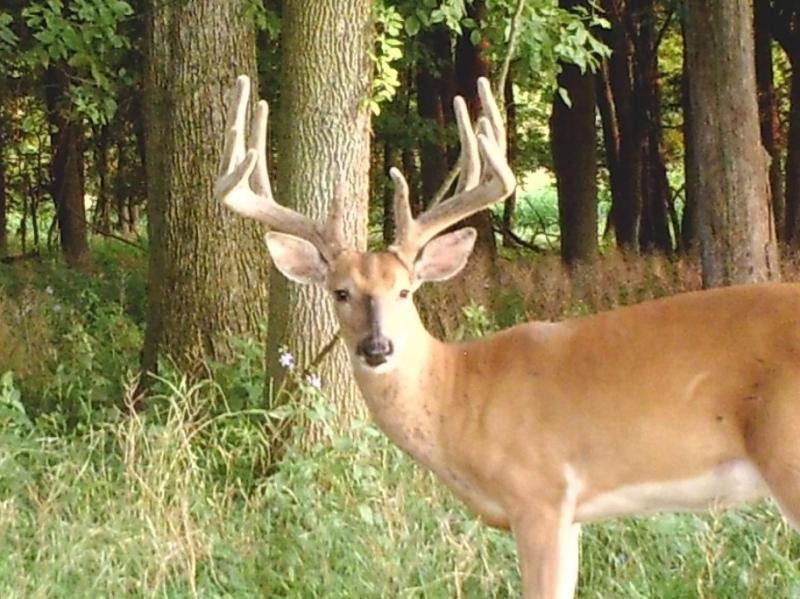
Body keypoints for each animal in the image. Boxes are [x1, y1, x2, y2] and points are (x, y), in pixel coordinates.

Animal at [215, 75, 800, 599]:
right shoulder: (569, 513)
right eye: (340, 292)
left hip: (787, 453)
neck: (460, 396)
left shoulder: (540, 492)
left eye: (405, 290)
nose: (377, 348)